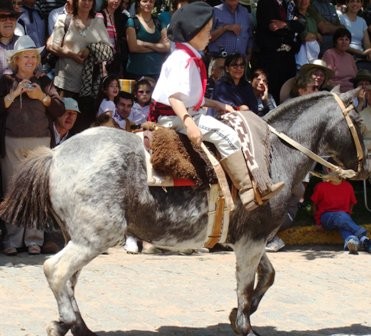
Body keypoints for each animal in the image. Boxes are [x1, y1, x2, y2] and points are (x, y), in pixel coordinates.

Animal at [0, 90, 366, 336]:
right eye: (360, 121)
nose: (365, 168)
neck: (271, 154)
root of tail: (56, 154)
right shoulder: (251, 239)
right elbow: (246, 284)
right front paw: (244, 321)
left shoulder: (250, 237)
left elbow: (267, 276)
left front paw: (240, 312)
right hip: (98, 235)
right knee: (56, 270)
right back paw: (72, 323)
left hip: (77, 235)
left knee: (69, 280)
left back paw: (70, 324)